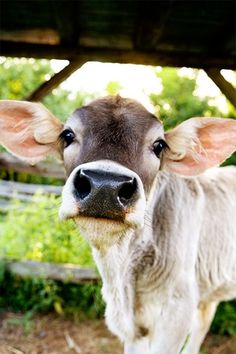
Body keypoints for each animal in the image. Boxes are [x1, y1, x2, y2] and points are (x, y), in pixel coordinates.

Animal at [0, 94, 236, 354]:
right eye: (68, 135)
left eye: (159, 145)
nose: (105, 187)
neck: (123, 276)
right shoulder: (130, 328)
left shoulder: (176, 312)